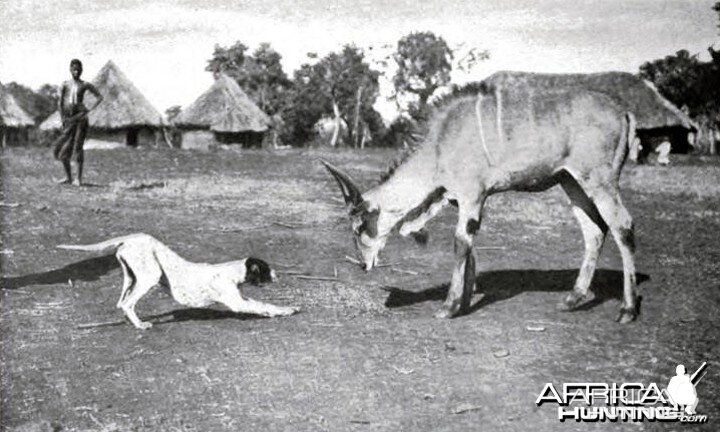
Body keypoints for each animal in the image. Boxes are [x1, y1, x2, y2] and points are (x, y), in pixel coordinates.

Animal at [55, 235, 298, 330]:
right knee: (127, 303)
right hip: (150, 276)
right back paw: (140, 325)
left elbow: (264, 304)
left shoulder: (240, 297)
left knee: (121, 302)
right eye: (265, 269)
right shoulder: (237, 302)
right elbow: (263, 307)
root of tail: (129, 239)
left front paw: (289, 307)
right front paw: (284, 311)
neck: (231, 271)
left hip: (131, 276)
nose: (277, 274)